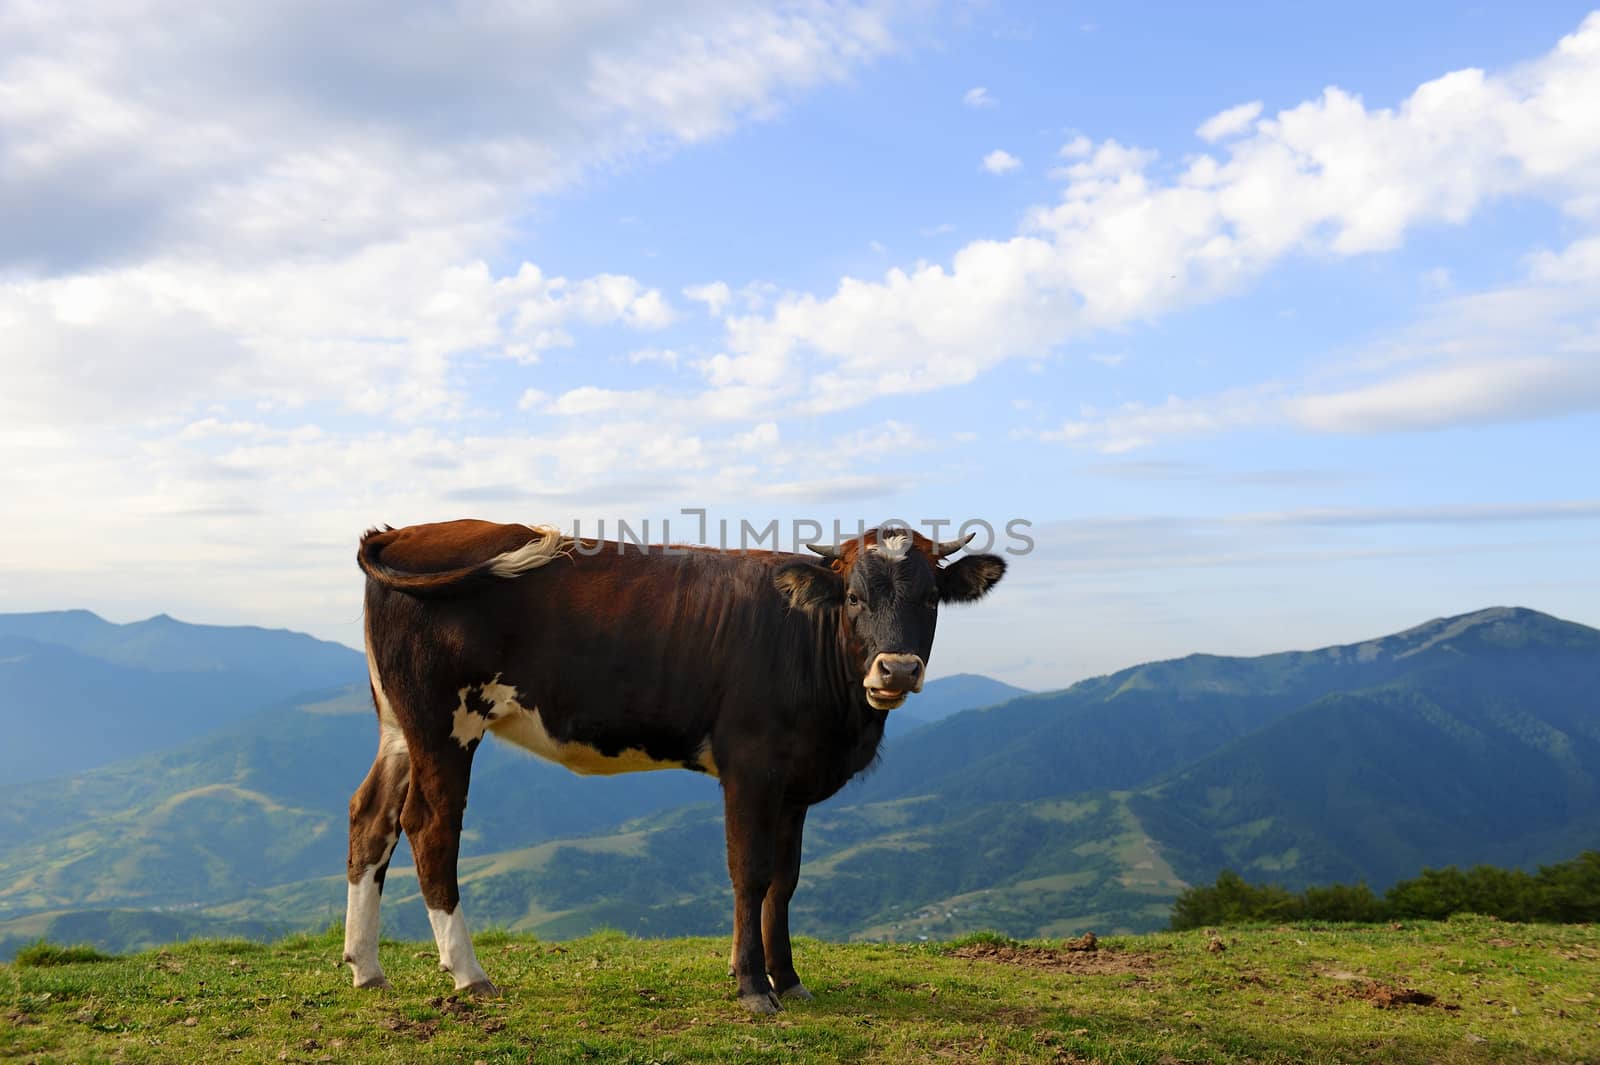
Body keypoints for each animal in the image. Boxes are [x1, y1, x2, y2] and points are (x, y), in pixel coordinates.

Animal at [344, 521, 1004, 1010]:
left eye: (930, 598)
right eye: (853, 597)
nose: (897, 669)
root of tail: (405, 531)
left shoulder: (793, 783)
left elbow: (785, 881)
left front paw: (790, 980)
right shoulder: (751, 767)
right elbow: (750, 874)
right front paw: (753, 986)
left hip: (398, 726)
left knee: (370, 817)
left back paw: (367, 968)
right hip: (443, 724)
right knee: (430, 827)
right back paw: (468, 974)